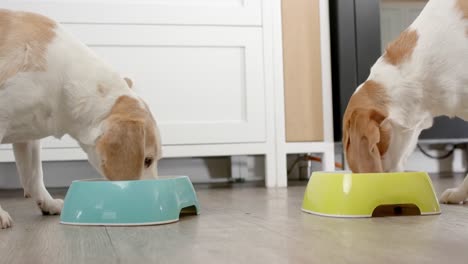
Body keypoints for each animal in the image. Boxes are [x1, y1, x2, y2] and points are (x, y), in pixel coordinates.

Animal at [0, 9, 163, 229]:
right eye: (146, 160)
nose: (155, 199)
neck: (62, 78)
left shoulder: (29, 136)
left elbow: (34, 175)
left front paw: (48, 203)